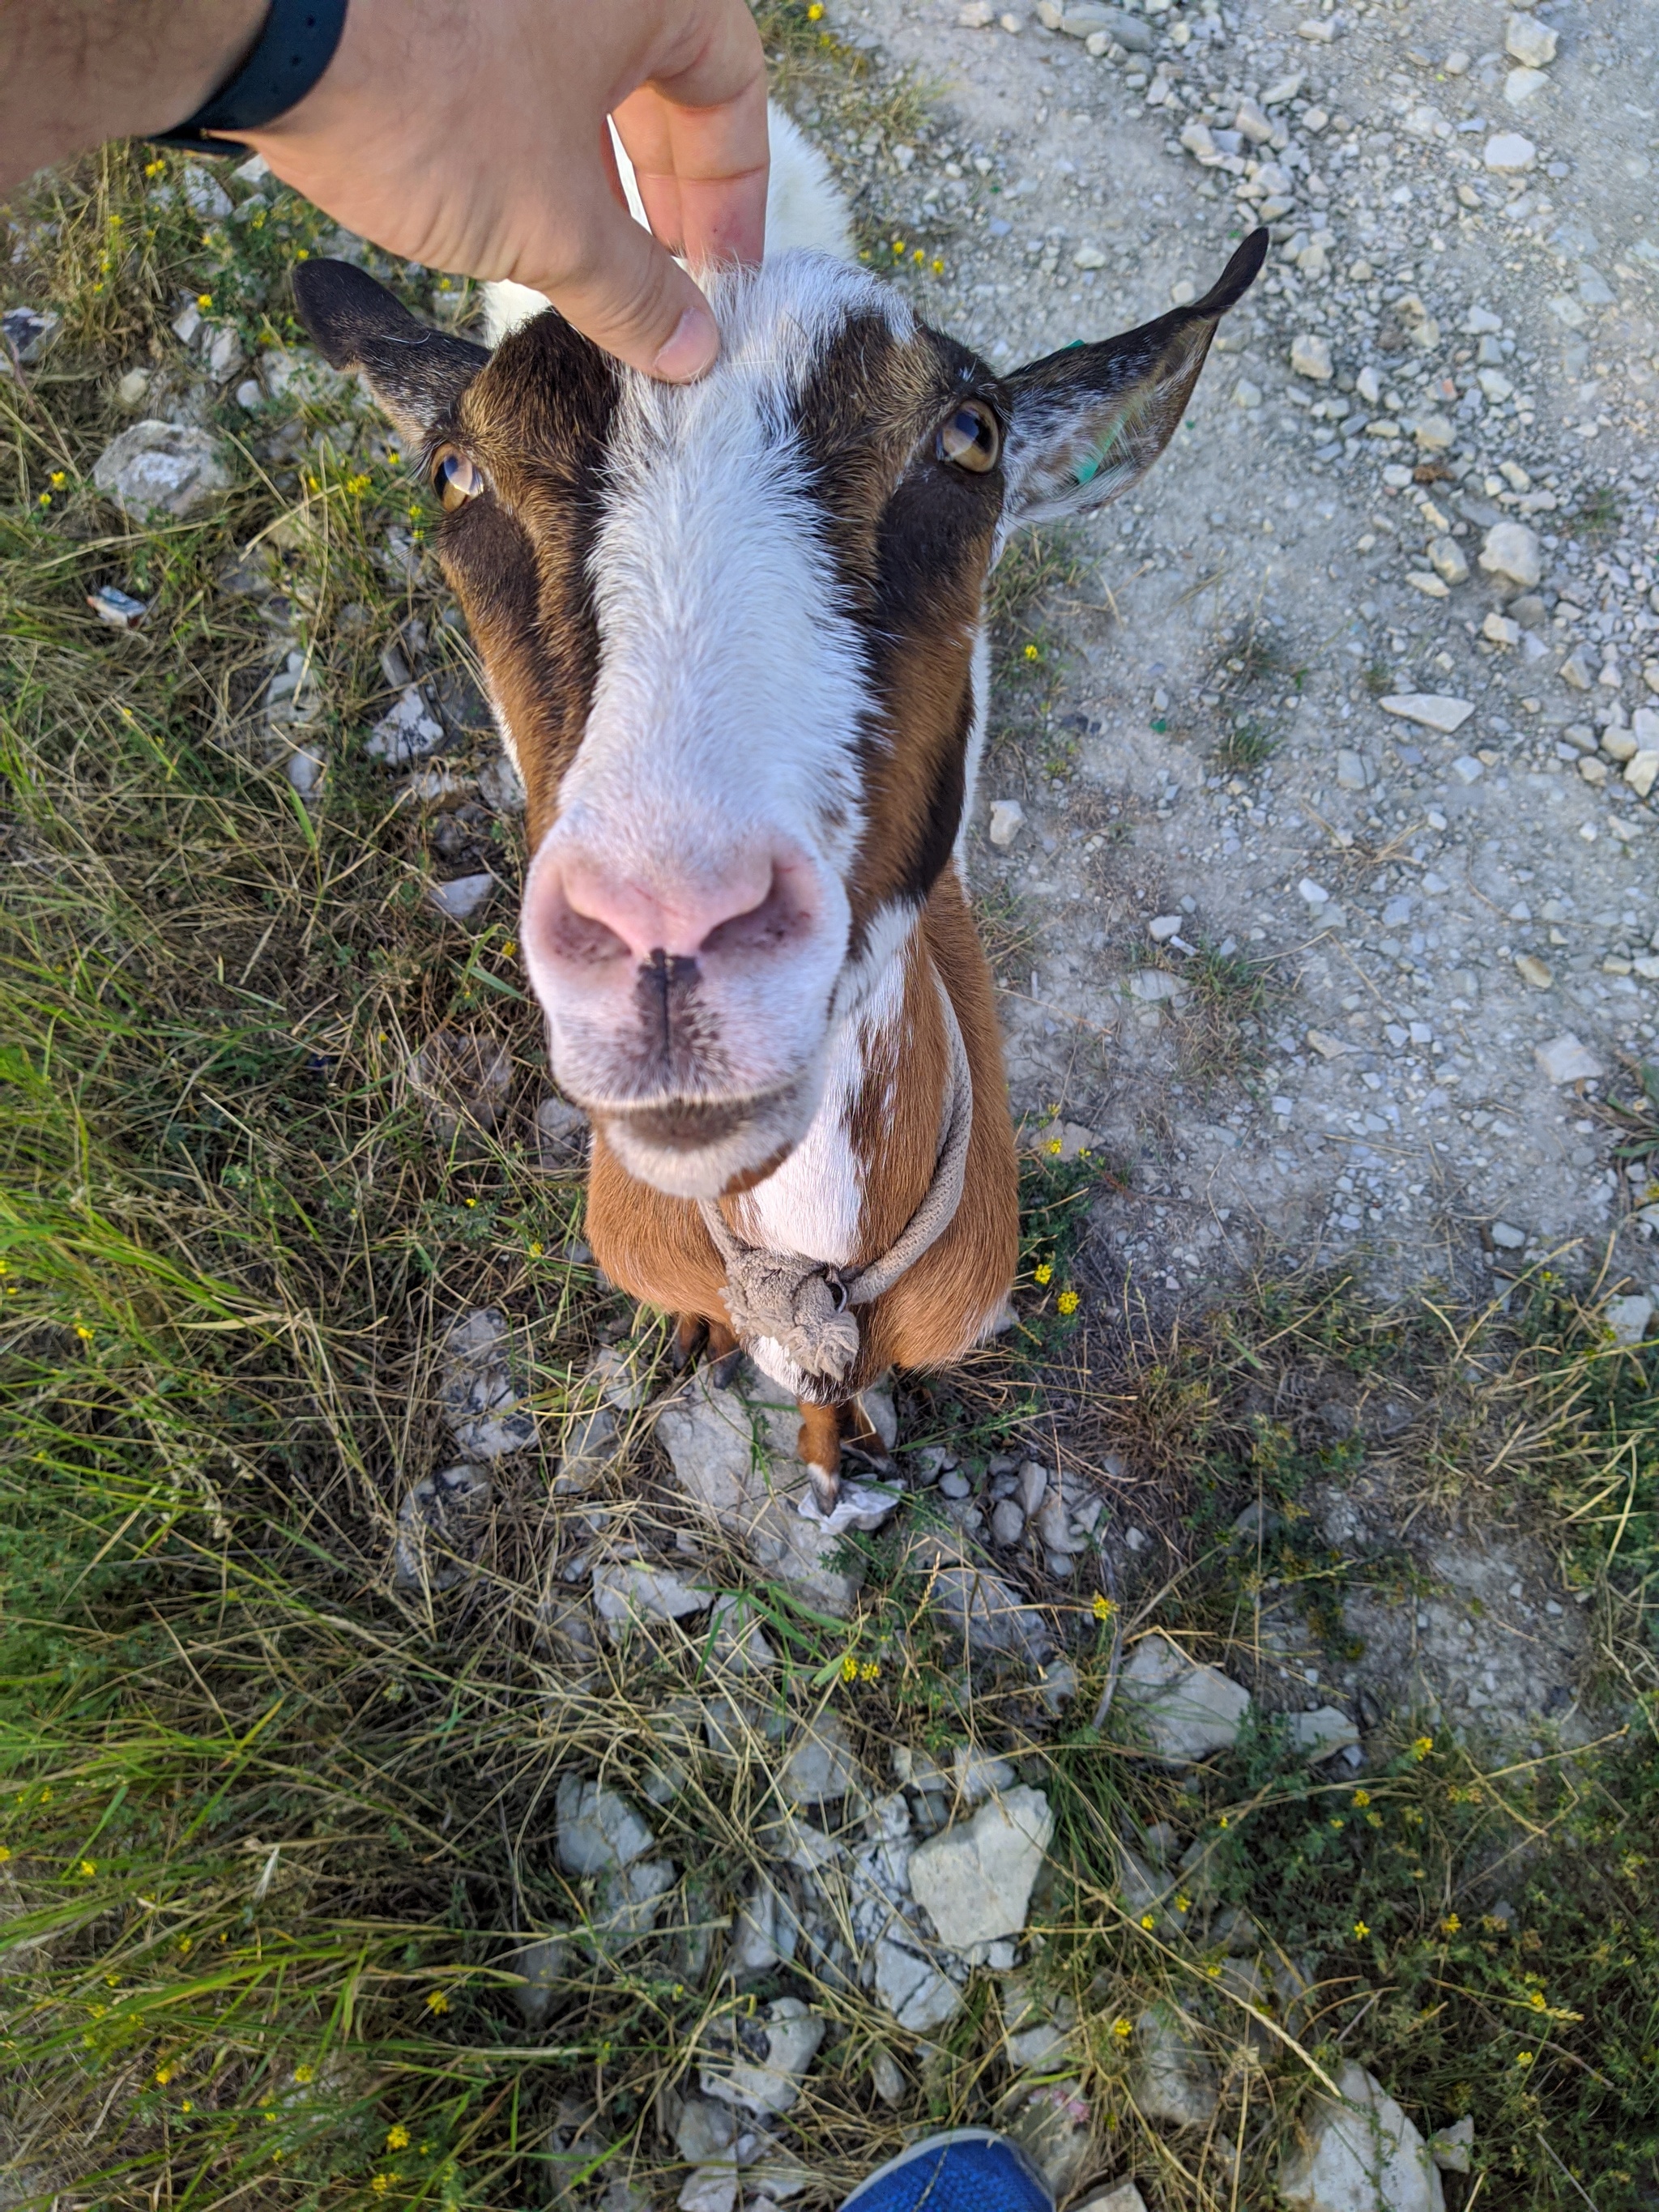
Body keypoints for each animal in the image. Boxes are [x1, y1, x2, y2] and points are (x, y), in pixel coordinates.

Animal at [292, 117, 1265, 1521]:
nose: (668, 925)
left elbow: (828, 1395)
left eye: (972, 436)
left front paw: (830, 1457)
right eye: (453, 472)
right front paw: (708, 1348)